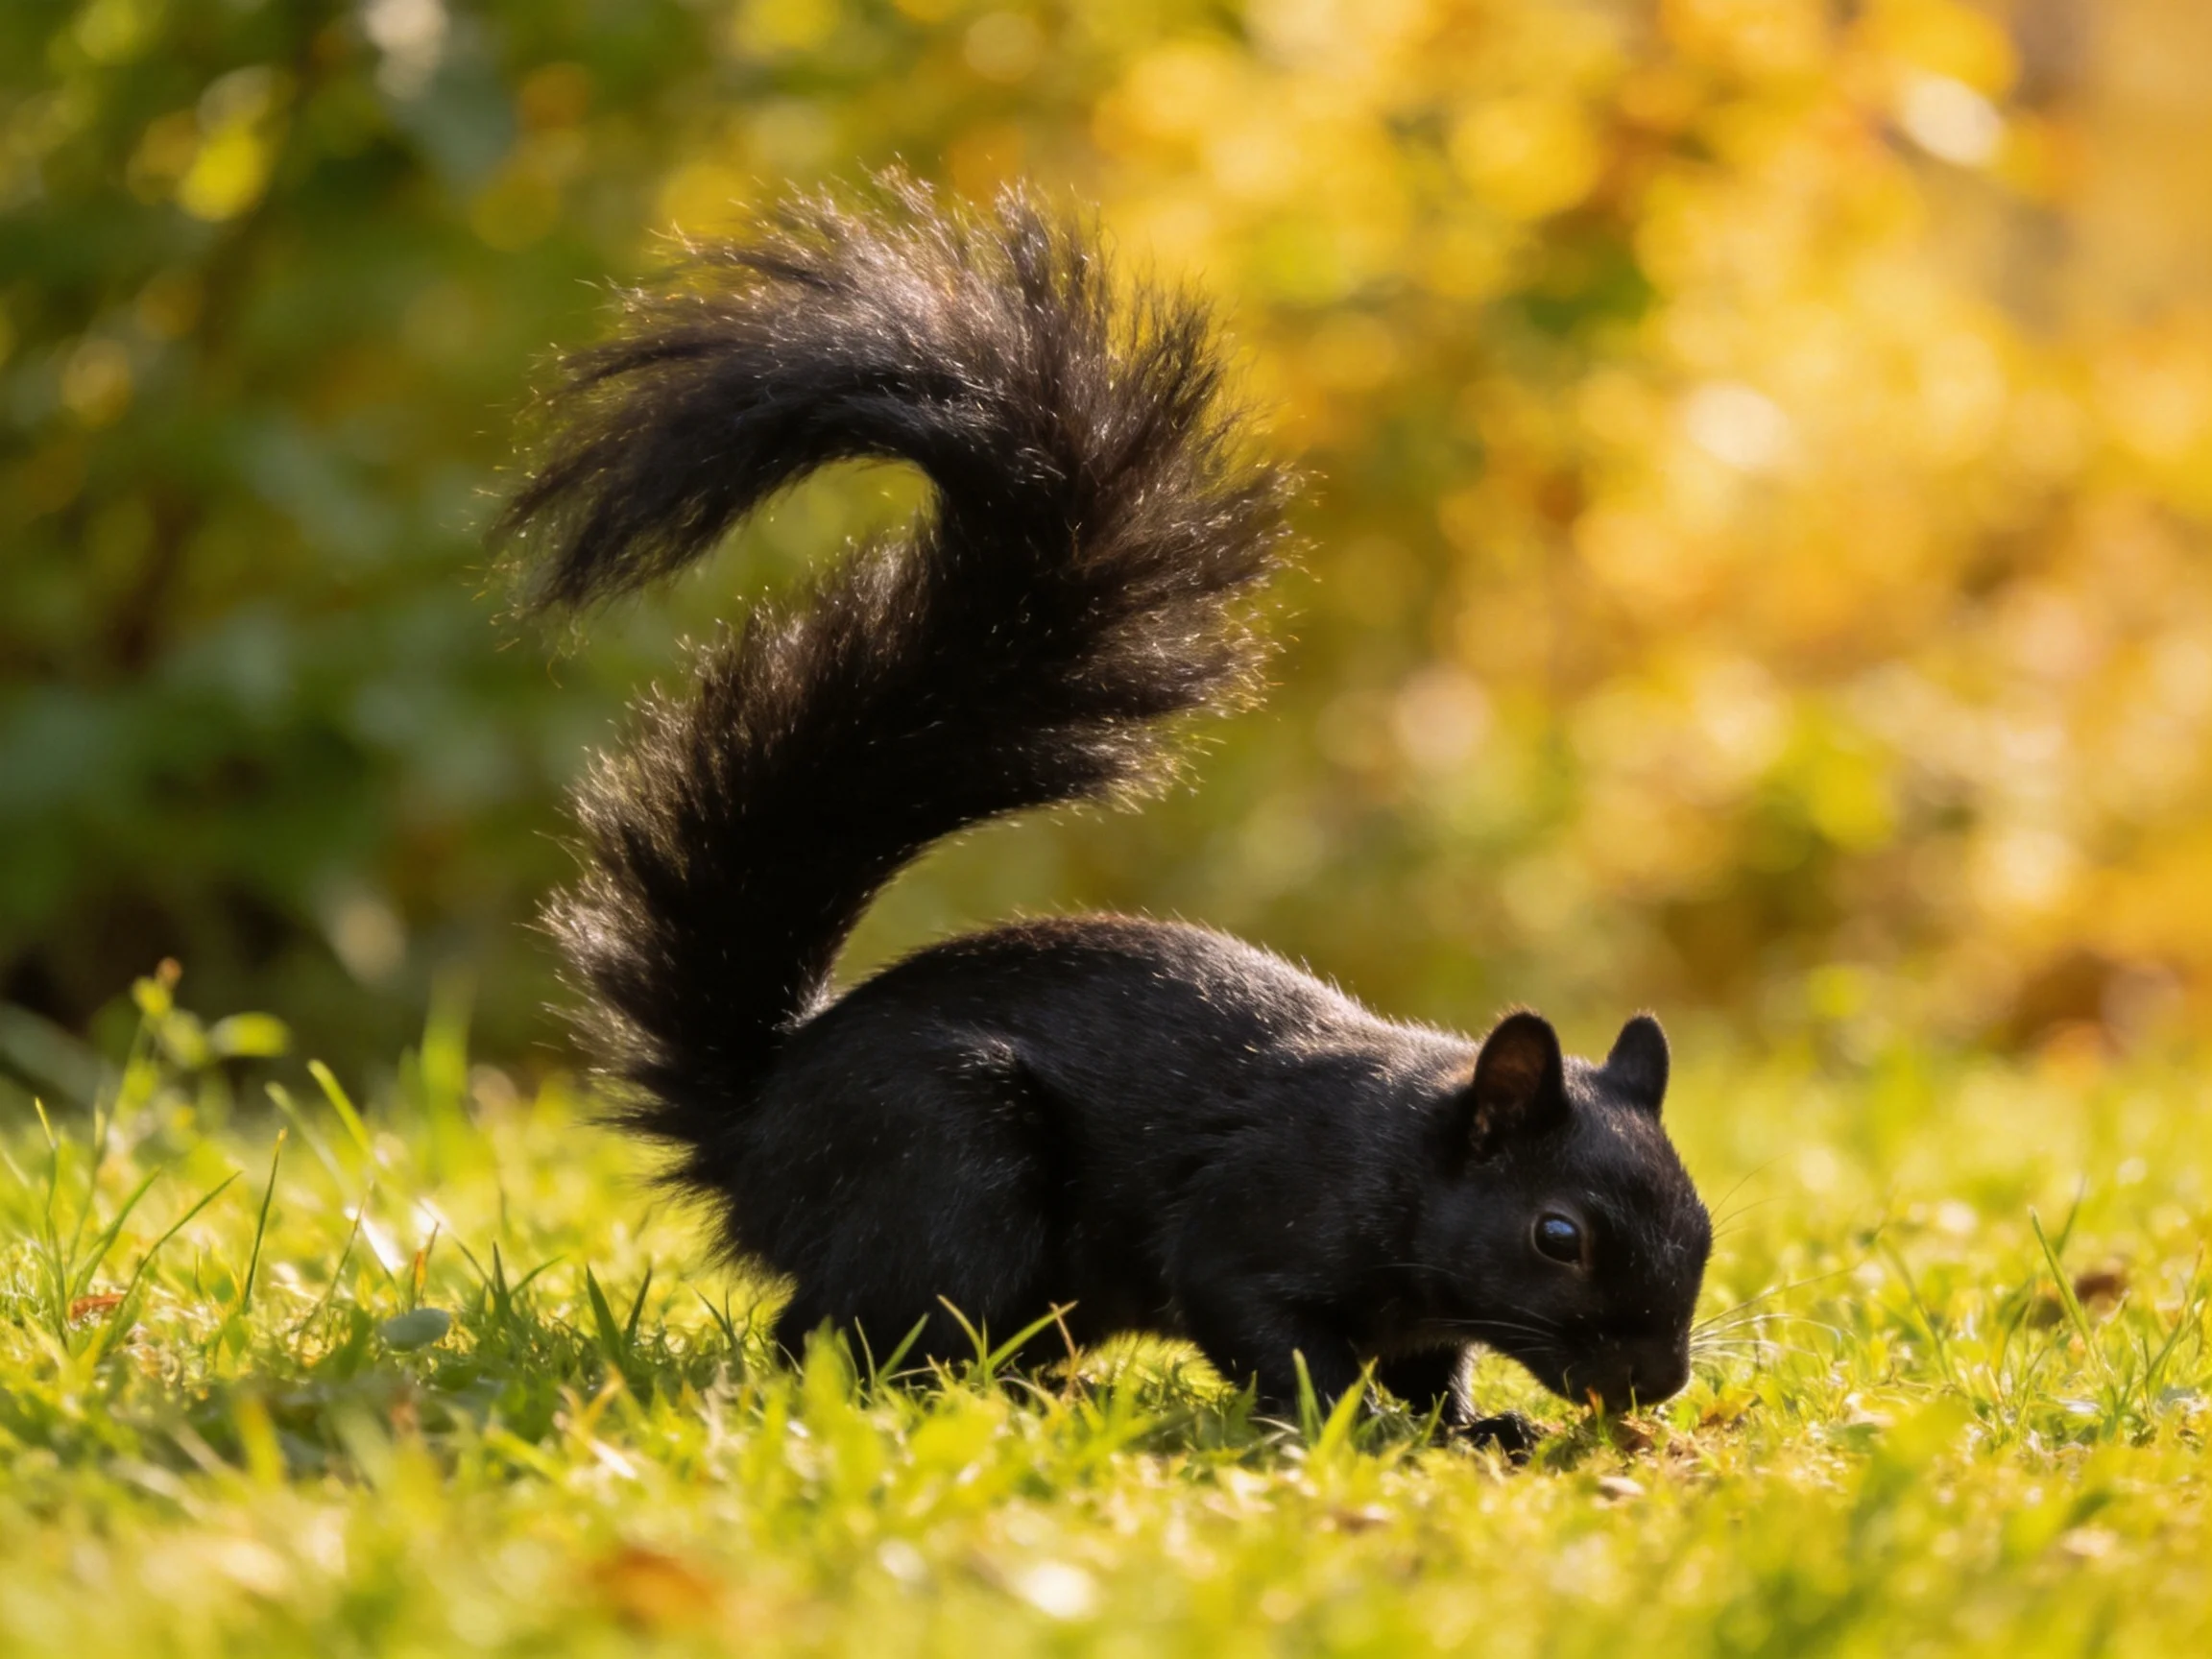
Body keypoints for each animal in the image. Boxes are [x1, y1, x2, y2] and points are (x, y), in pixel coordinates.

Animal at [496, 182, 1711, 1436]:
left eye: (1705, 1224)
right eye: (1558, 1235)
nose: (1654, 1381)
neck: (1404, 1155)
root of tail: (757, 1118)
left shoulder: (1420, 1312)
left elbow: (1433, 1365)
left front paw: (1475, 1429)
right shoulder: (1248, 1221)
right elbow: (1276, 1337)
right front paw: (1363, 1431)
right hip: (949, 1163)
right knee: (835, 1337)